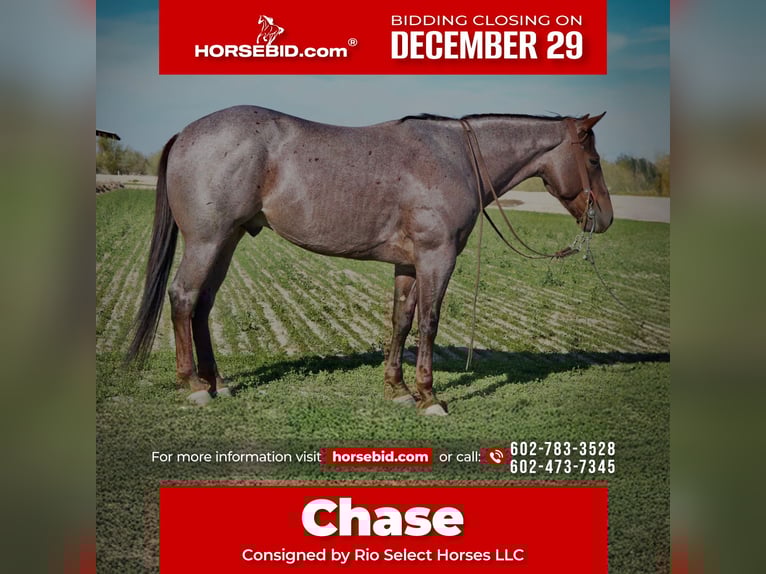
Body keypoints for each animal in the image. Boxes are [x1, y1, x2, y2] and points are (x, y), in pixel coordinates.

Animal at [126, 106, 612, 414]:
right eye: (593, 159)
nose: (605, 218)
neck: (453, 158)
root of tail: (186, 133)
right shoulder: (437, 258)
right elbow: (429, 323)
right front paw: (428, 397)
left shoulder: (409, 264)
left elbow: (401, 321)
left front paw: (397, 390)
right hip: (207, 241)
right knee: (183, 297)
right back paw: (194, 386)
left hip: (226, 242)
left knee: (202, 304)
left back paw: (216, 382)